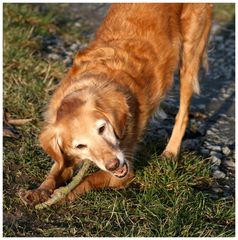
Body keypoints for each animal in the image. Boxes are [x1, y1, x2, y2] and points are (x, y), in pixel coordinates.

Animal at [22, 3, 212, 204]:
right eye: (80, 146)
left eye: (101, 128)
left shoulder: (124, 170)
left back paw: (171, 152)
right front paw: (39, 191)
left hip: (190, 53)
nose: (113, 165)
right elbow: (53, 173)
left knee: (183, 112)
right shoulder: (65, 158)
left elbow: (88, 180)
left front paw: (63, 196)